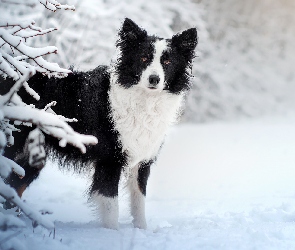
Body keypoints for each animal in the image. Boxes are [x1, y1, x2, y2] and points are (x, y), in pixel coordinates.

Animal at [2, 18, 199, 229]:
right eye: (144, 58)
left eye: (167, 61)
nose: (154, 79)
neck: (144, 100)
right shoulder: (109, 159)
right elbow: (112, 206)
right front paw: (112, 233)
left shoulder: (142, 160)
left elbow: (139, 202)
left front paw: (141, 231)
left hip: (29, 159)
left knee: (13, 189)